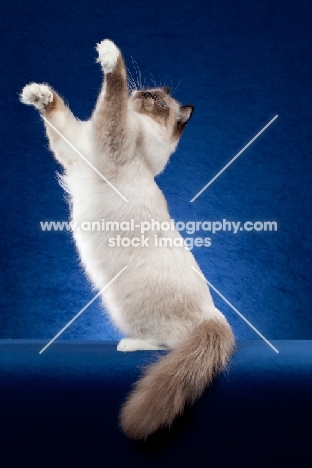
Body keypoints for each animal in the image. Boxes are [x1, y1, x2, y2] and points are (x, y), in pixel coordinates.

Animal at [20, 39, 235, 438]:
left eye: (160, 104)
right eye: (149, 93)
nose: (146, 95)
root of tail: (215, 314)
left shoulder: (110, 136)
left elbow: (112, 97)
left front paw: (109, 55)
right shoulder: (77, 150)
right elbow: (60, 119)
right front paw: (38, 94)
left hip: (133, 306)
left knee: (166, 343)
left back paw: (128, 345)